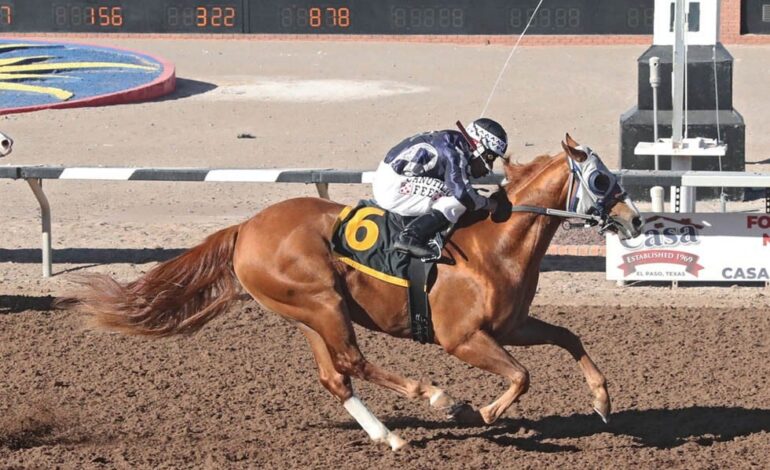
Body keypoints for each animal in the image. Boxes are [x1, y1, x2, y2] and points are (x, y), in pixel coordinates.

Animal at [68, 134, 643, 451]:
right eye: (600, 178)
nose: (636, 221)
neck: (494, 243)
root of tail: (245, 228)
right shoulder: (462, 338)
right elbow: (522, 377)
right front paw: (479, 414)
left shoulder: (512, 325)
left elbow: (568, 337)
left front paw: (602, 400)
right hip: (322, 301)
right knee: (352, 360)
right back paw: (436, 396)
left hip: (307, 312)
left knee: (334, 375)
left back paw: (388, 435)